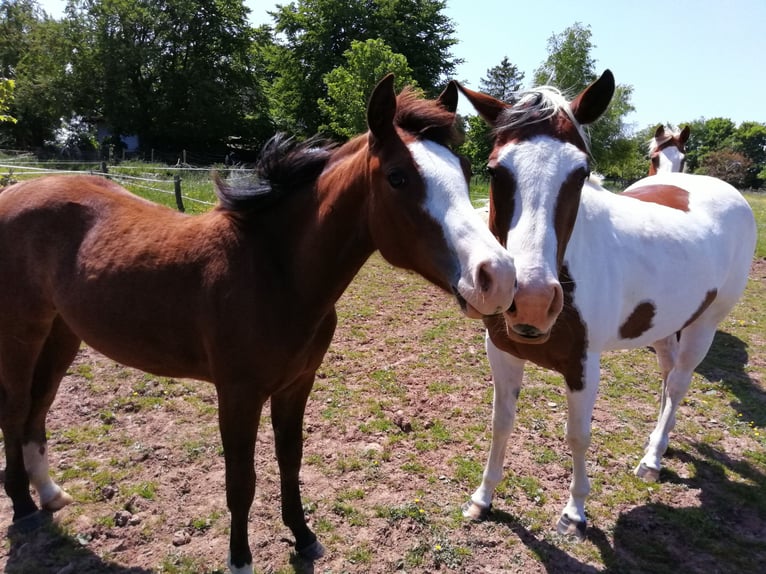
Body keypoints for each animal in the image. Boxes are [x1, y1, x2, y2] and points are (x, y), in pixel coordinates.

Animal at [0, 74, 520, 572]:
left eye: (466, 172)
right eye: (397, 177)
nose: (497, 277)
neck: (275, 272)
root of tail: (14, 191)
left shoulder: (296, 384)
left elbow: (290, 459)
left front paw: (304, 537)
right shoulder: (238, 394)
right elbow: (241, 482)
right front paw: (240, 559)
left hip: (62, 334)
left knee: (38, 410)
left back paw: (49, 494)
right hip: (21, 335)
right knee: (16, 409)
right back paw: (23, 507)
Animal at [452, 71, 760, 540]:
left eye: (581, 173)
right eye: (494, 170)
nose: (532, 302)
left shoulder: (583, 366)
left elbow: (578, 436)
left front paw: (574, 513)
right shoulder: (502, 351)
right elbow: (500, 423)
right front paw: (482, 498)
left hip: (704, 325)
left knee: (679, 384)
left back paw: (652, 458)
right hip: (663, 326)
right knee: (667, 376)